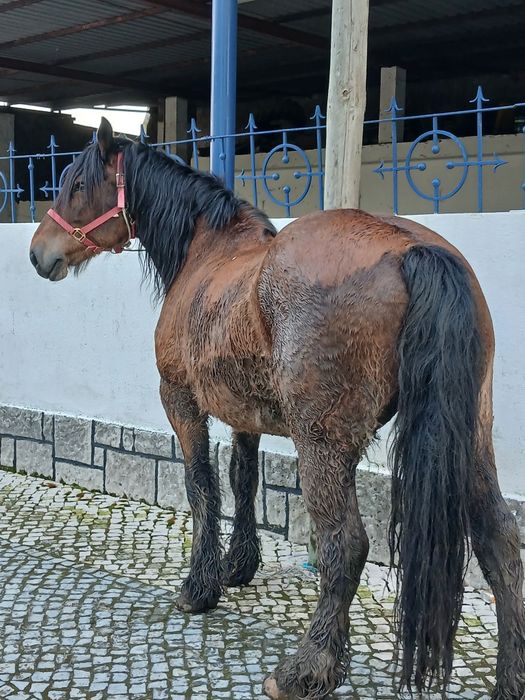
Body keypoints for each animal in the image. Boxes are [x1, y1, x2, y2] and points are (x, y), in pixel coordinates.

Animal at [29, 118, 525, 700]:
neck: (207, 252)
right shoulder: (246, 413)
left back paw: (308, 666)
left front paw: (199, 586)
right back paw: (511, 678)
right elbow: (243, 479)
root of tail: (412, 249)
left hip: (322, 445)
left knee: (346, 545)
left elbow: (201, 485)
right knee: (500, 544)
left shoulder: (180, 398)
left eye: (79, 185)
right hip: (470, 439)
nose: (38, 253)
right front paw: (237, 566)